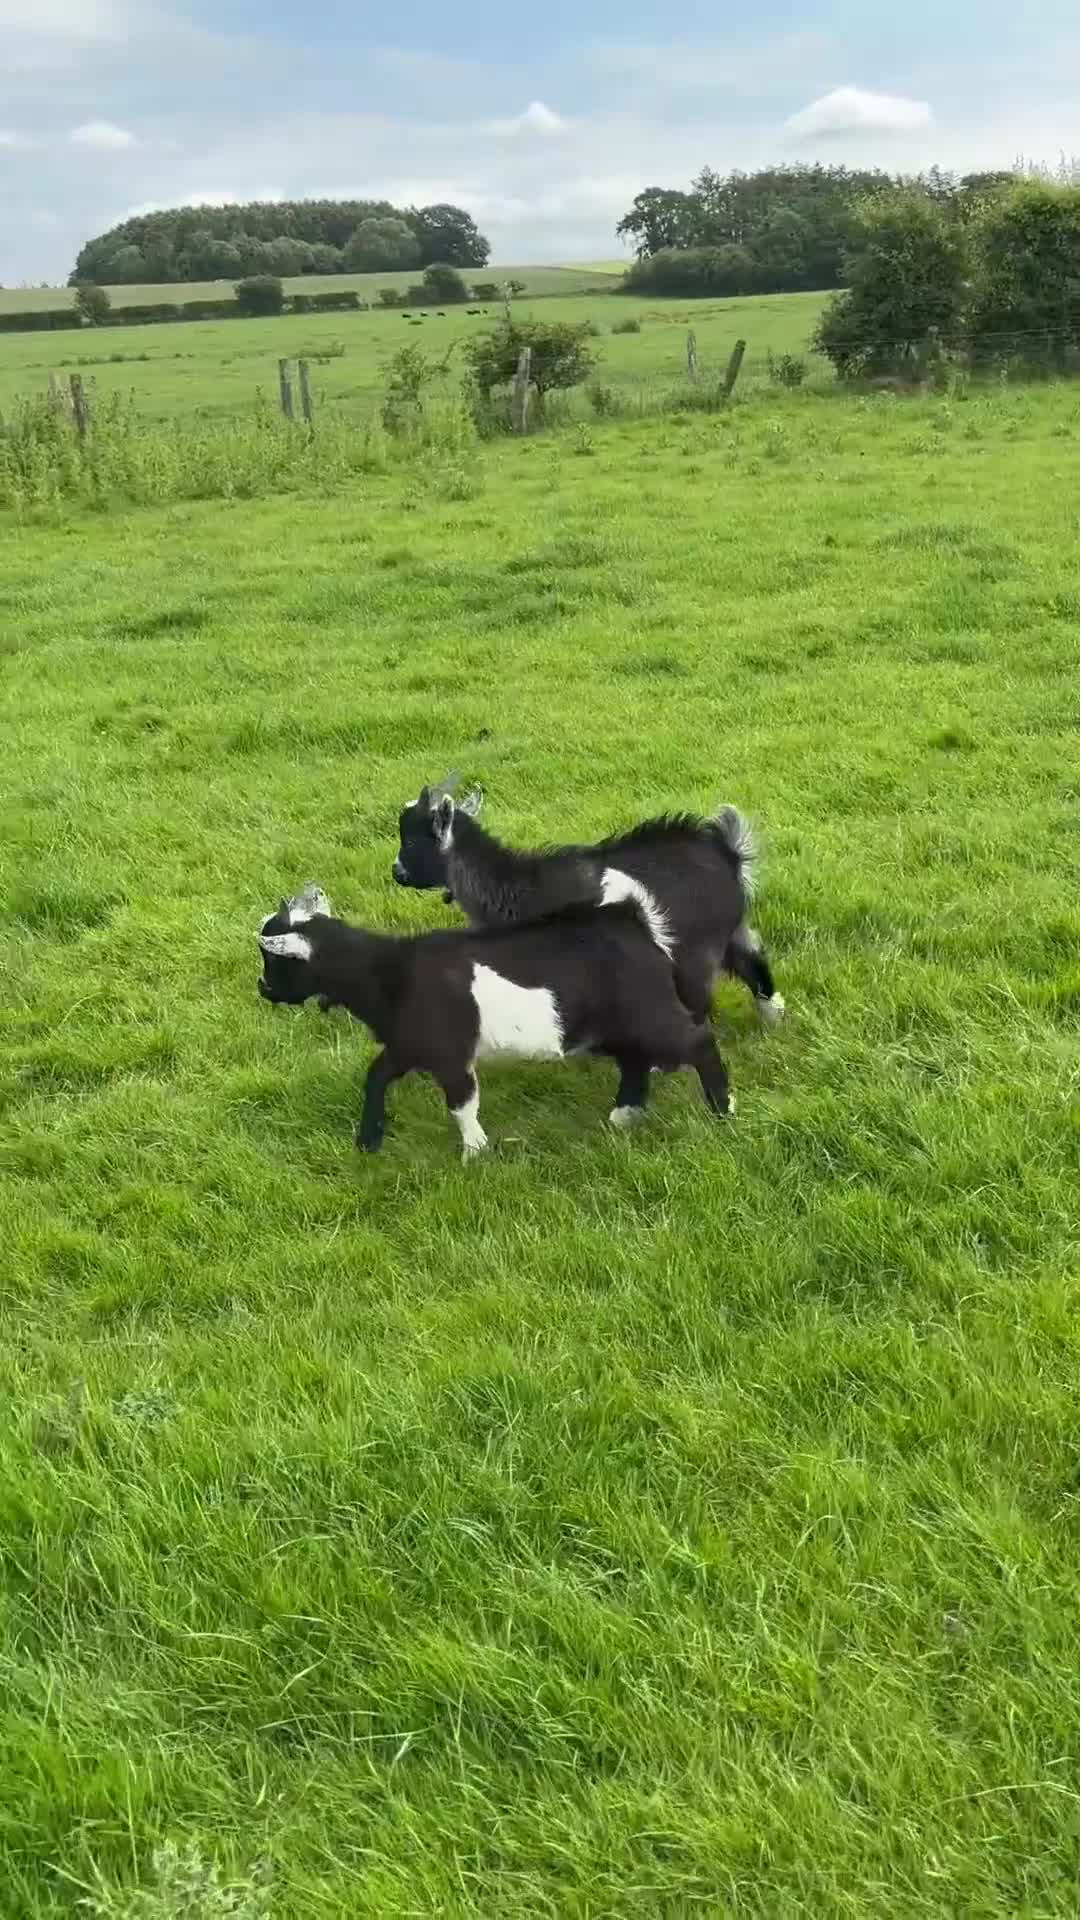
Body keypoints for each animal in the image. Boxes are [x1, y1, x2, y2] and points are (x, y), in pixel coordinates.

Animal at [256, 880, 734, 1159]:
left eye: (272, 958)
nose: (262, 988)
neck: (389, 972)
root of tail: (633, 921)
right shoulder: (411, 1046)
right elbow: (376, 1076)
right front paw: (368, 1141)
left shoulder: (449, 1056)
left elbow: (462, 1103)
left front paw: (474, 1152)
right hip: (614, 1027)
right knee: (635, 1060)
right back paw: (622, 1117)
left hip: (648, 1014)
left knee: (698, 1042)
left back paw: (722, 1112)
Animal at [392, 777, 784, 1028]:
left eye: (411, 842)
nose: (396, 872)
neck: (513, 884)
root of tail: (727, 853)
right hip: (731, 931)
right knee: (754, 967)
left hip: (696, 951)